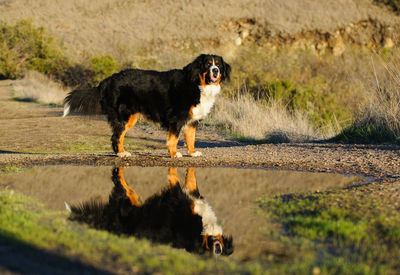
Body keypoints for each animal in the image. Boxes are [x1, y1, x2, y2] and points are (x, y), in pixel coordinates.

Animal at [63, 55, 231, 158]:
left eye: (218, 65)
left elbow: (191, 138)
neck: (197, 83)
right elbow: (173, 139)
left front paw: (193, 153)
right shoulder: (176, 118)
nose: (215, 71)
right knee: (116, 137)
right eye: (208, 64)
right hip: (125, 116)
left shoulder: (192, 120)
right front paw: (174, 154)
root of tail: (107, 80)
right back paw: (122, 153)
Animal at [67, 167, 233, 258]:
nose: (218, 247)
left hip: (127, 202)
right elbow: (189, 177)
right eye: (218, 248)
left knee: (120, 184)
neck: (200, 228)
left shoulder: (177, 198)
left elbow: (175, 179)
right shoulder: (187, 197)